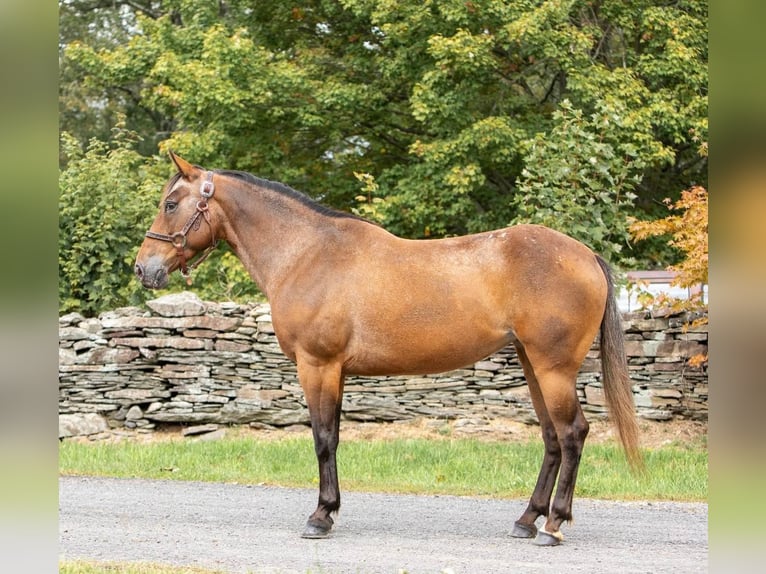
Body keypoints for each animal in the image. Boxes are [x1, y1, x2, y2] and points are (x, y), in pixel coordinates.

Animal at [136, 151, 640, 548]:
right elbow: (333, 437)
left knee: (572, 434)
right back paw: (527, 519)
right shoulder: (335, 371)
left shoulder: (317, 366)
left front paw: (320, 516)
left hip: (554, 368)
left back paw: (554, 524)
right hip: (532, 364)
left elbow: (323, 439)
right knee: (552, 438)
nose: (144, 268)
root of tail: (585, 255)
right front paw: (329, 510)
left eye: (170, 204)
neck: (307, 253)